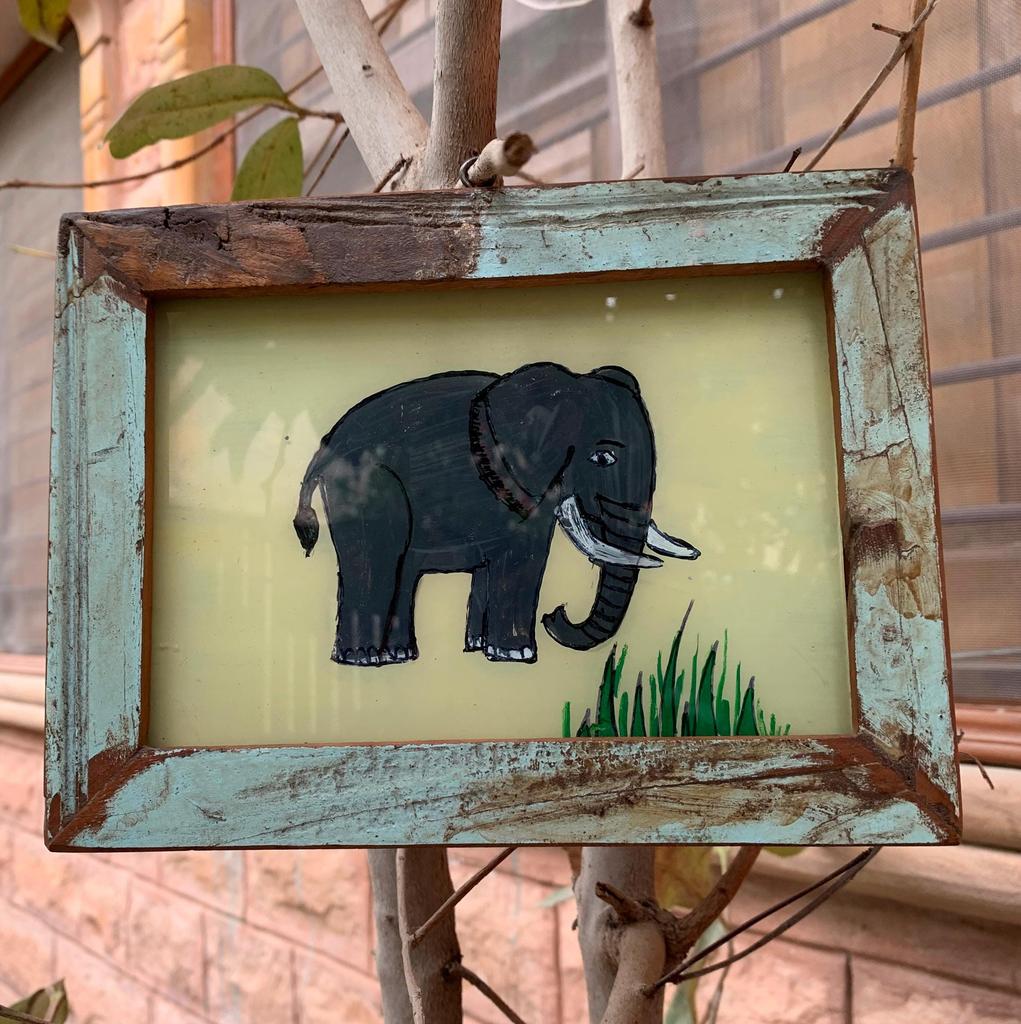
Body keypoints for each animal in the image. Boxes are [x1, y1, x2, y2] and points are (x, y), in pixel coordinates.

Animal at [293, 361, 699, 667]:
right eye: (602, 458)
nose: (556, 614)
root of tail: (322, 452)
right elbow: (523, 558)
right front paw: (515, 655)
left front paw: (485, 650)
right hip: (365, 487)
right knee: (376, 561)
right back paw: (362, 660)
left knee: (401, 569)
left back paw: (397, 656)